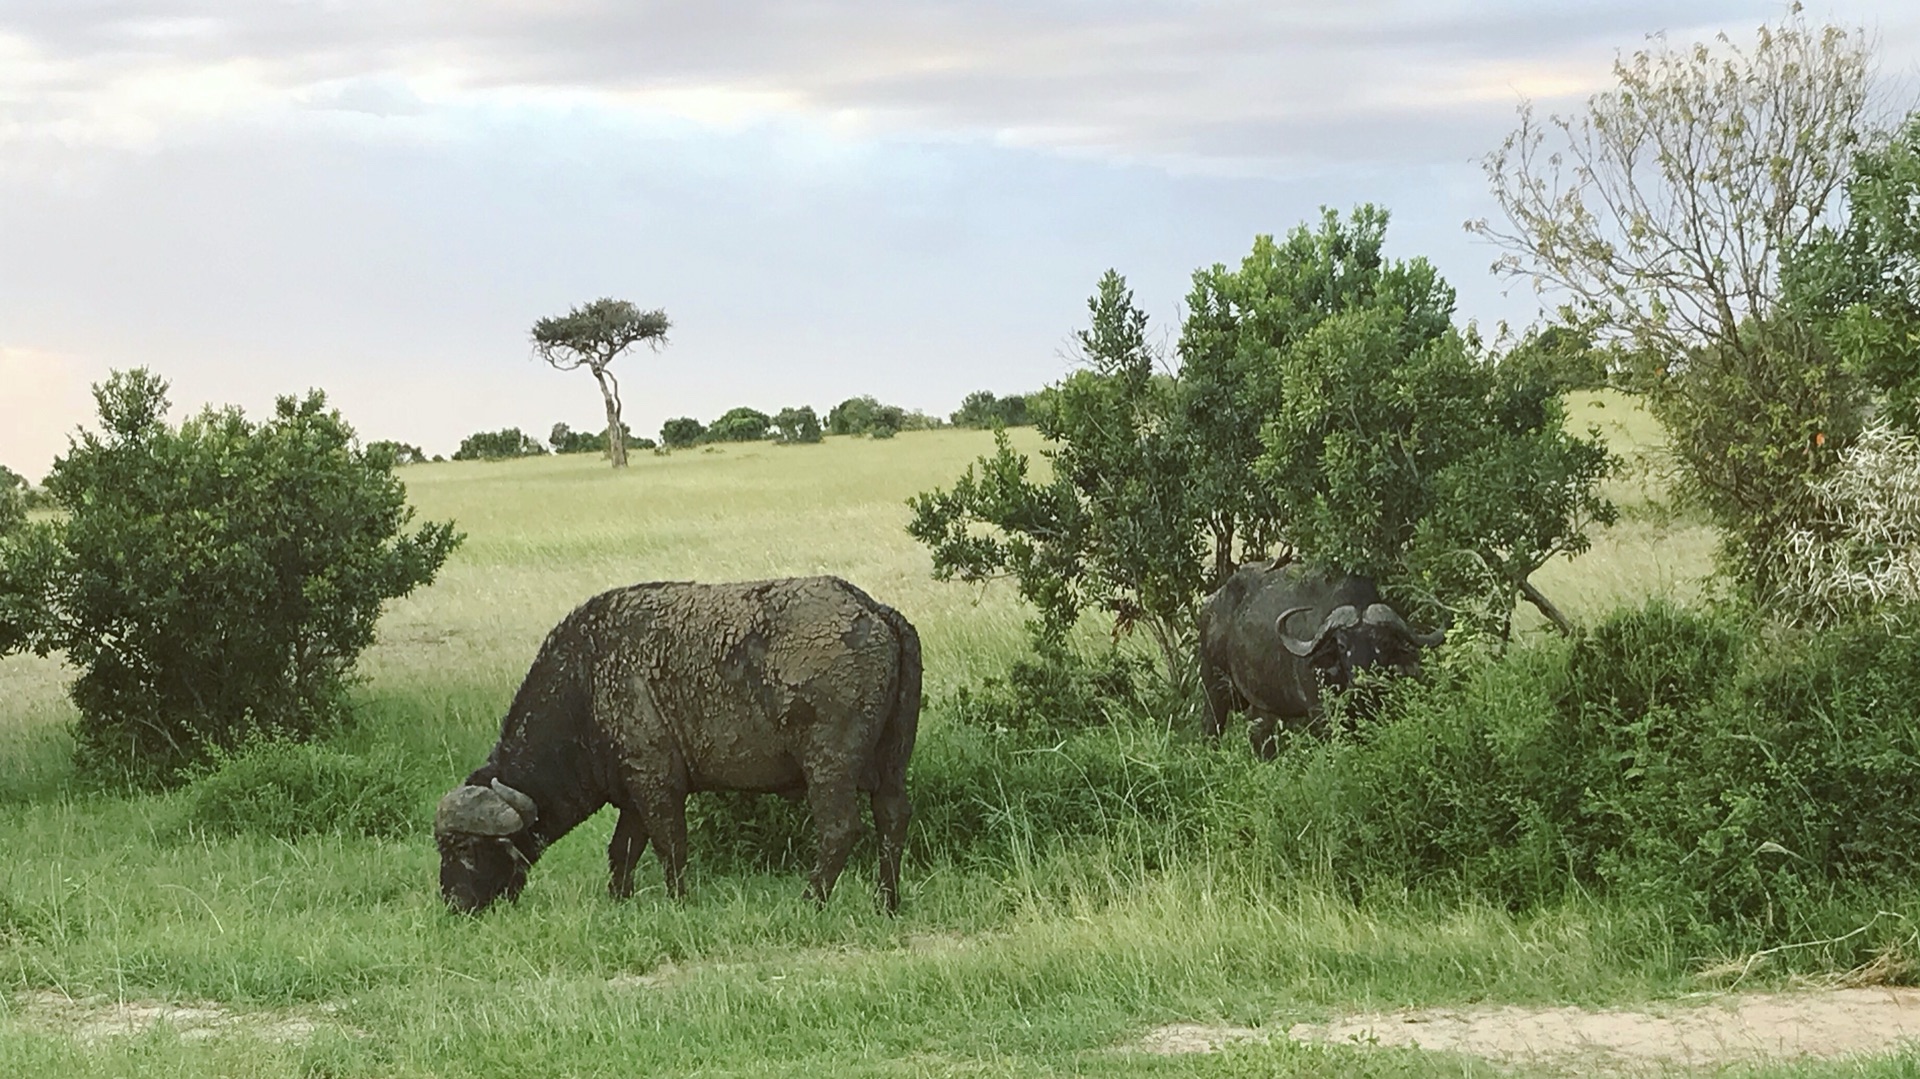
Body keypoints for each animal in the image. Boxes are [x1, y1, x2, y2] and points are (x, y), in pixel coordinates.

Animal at [439, 575, 917, 910]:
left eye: (463, 847)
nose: (453, 903)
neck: (587, 683)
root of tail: (872, 609)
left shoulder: (657, 785)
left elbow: (670, 845)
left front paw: (679, 901)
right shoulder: (633, 794)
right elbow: (623, 850)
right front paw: (618, 899)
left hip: (828, 767)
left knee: (840, 828)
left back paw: (811, 899)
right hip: (893, 762)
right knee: (893, 819)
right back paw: (886, 902)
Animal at [1190, 556, 1443, 752]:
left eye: (1384, 641)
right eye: (1341, 644)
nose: (1364, 682)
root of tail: (1210, 605)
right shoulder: (1320, 712)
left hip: (1262, 705)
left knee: (1259, 735)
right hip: (1214, 687)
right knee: (1211, 727)